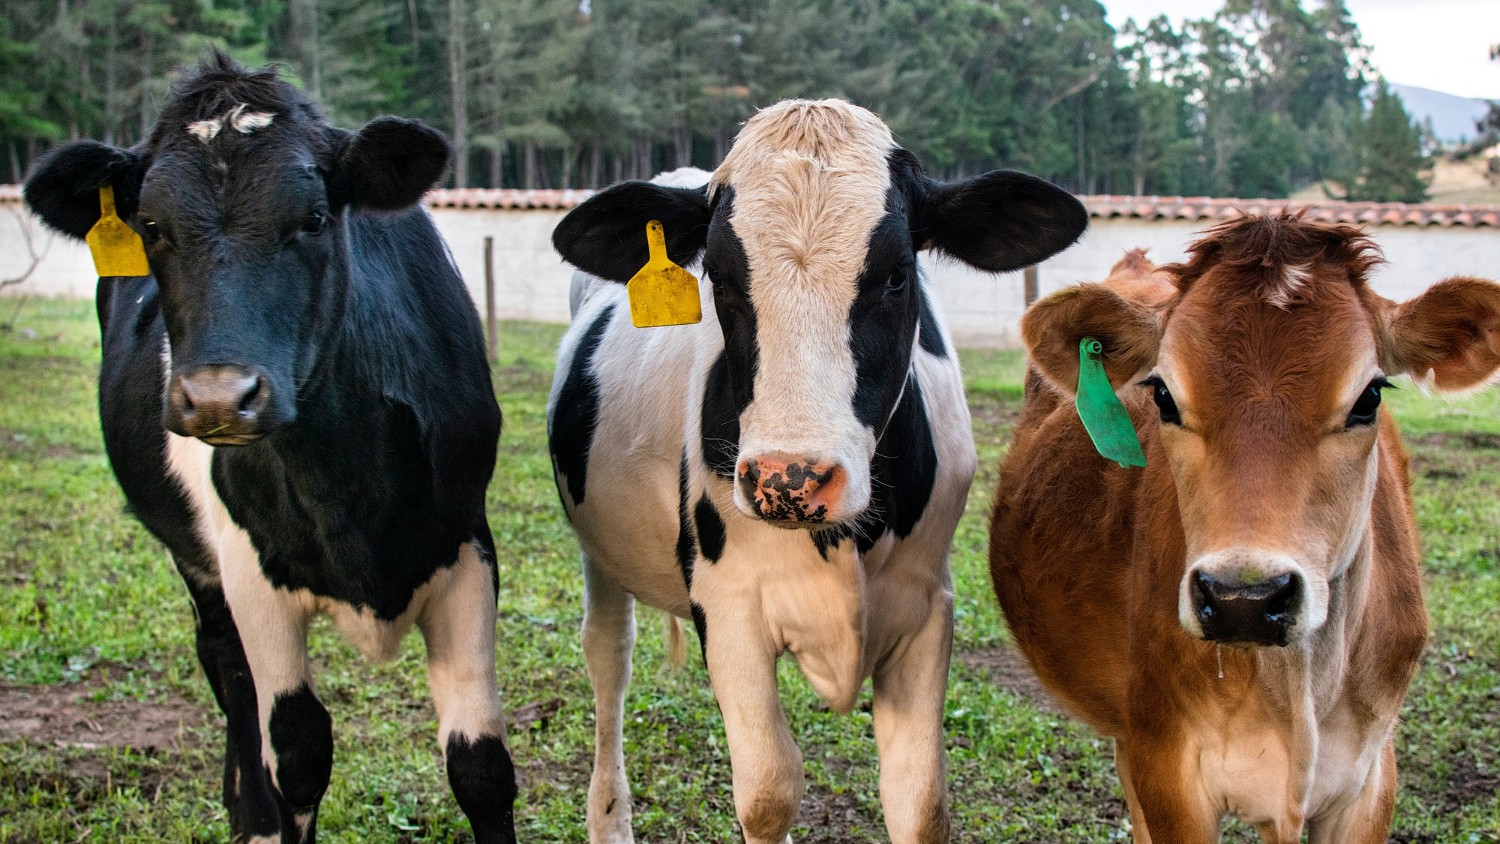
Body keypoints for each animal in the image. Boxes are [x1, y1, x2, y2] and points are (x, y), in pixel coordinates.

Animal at [22, 54, 516, 843]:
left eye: (312, 218)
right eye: (151, 225)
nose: (220, 397)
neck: (346, 486)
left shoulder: (465, 543)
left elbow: (481, 765)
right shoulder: (249, 569)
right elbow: (297, 749)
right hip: (196, 558)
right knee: (229, 675)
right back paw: (249, 815)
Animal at [547, 98, 1088, 844]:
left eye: (897, 275)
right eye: (720, 279)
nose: (789, 478)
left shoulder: (927, 608)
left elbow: (920, 802)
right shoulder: (730, 608)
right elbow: (769, 791)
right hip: (599, 552)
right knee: (608, 657)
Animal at [990, 218, 1500, 843]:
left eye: (1370, 396)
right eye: (1163, 395)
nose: (1244, 599)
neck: (1298, 689)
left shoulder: (1370, 775)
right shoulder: (1169, 766)